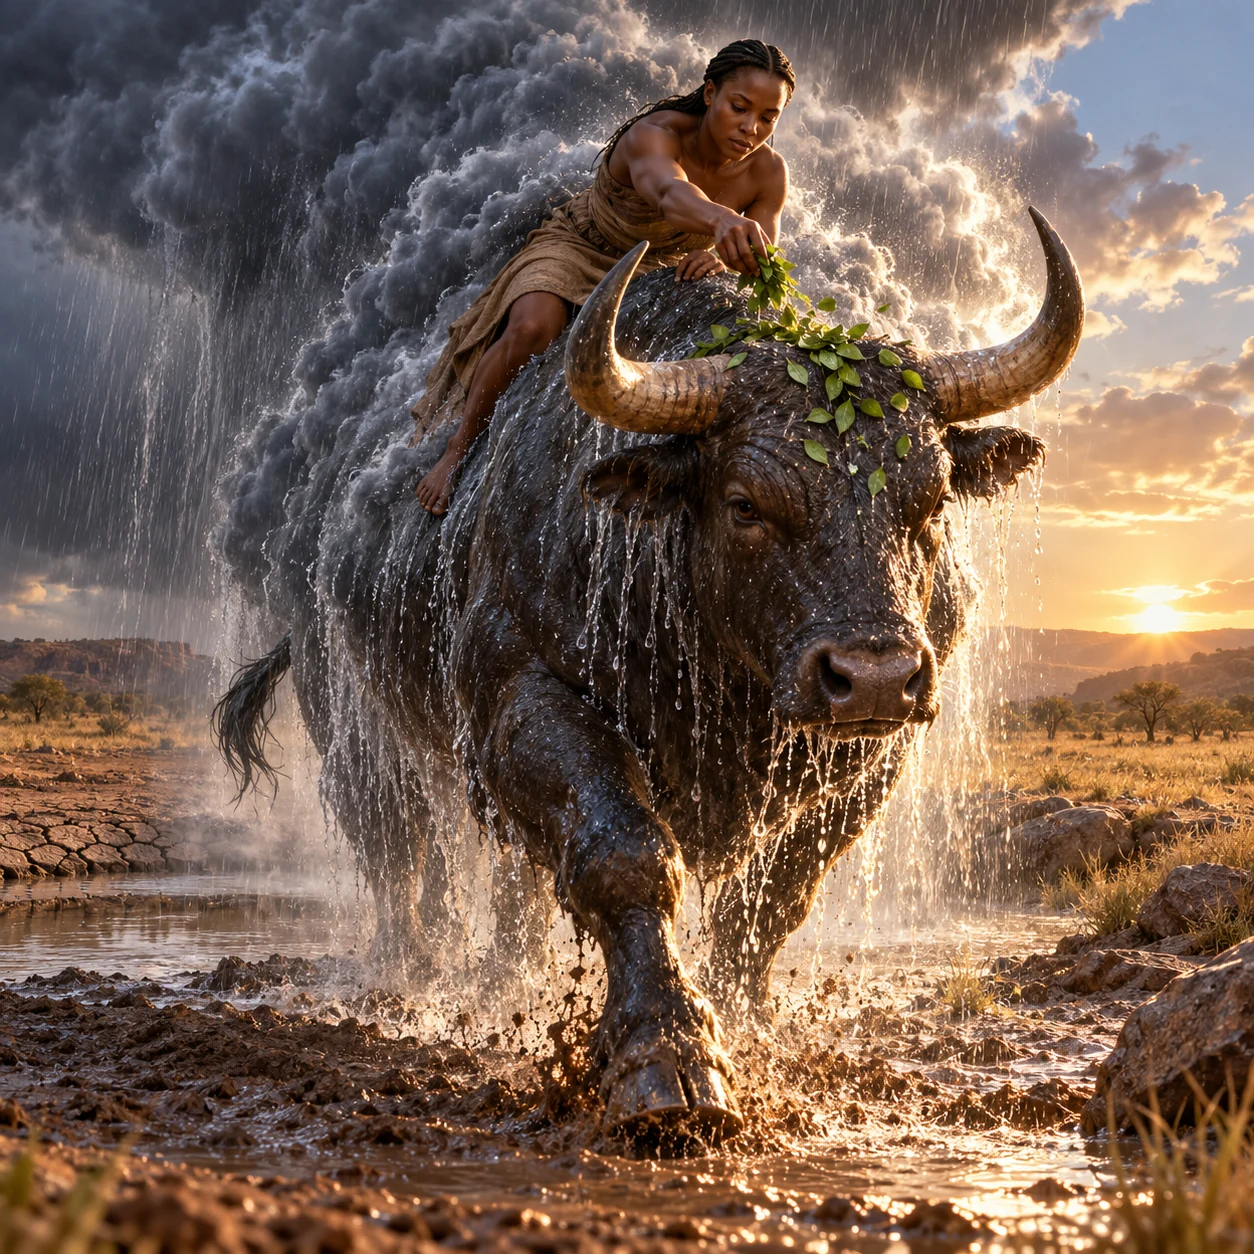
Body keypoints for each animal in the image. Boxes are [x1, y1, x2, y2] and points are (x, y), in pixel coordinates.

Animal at [214, 208, 1083, 1147]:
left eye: (930, 501)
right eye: (744, 504)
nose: (875, 675)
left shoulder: (871, 761)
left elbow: (771, 903)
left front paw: (749, 1027)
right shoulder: (525, 699)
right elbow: (625, 856)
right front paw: (670, 1060)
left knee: (510, 889)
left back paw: (494, 978)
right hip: (360, 735)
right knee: (403, 860)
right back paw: (416, 981)